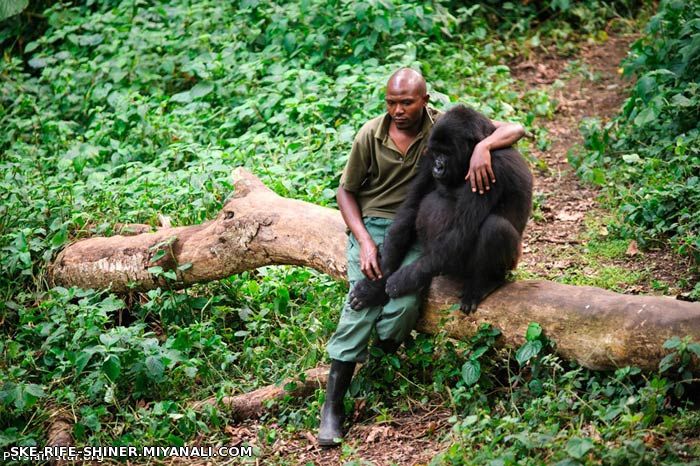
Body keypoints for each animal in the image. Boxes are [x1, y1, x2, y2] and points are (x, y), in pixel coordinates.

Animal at [350, 105, 536, 314]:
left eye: (447, 153)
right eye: (437, 152)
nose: (438, 167)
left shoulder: (491, 165)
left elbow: (462, 230)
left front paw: (402, 280)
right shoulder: (427, 157)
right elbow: (411, 208)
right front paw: (375, 285)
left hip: (510, 263)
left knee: (495, 227)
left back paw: (485, 283)